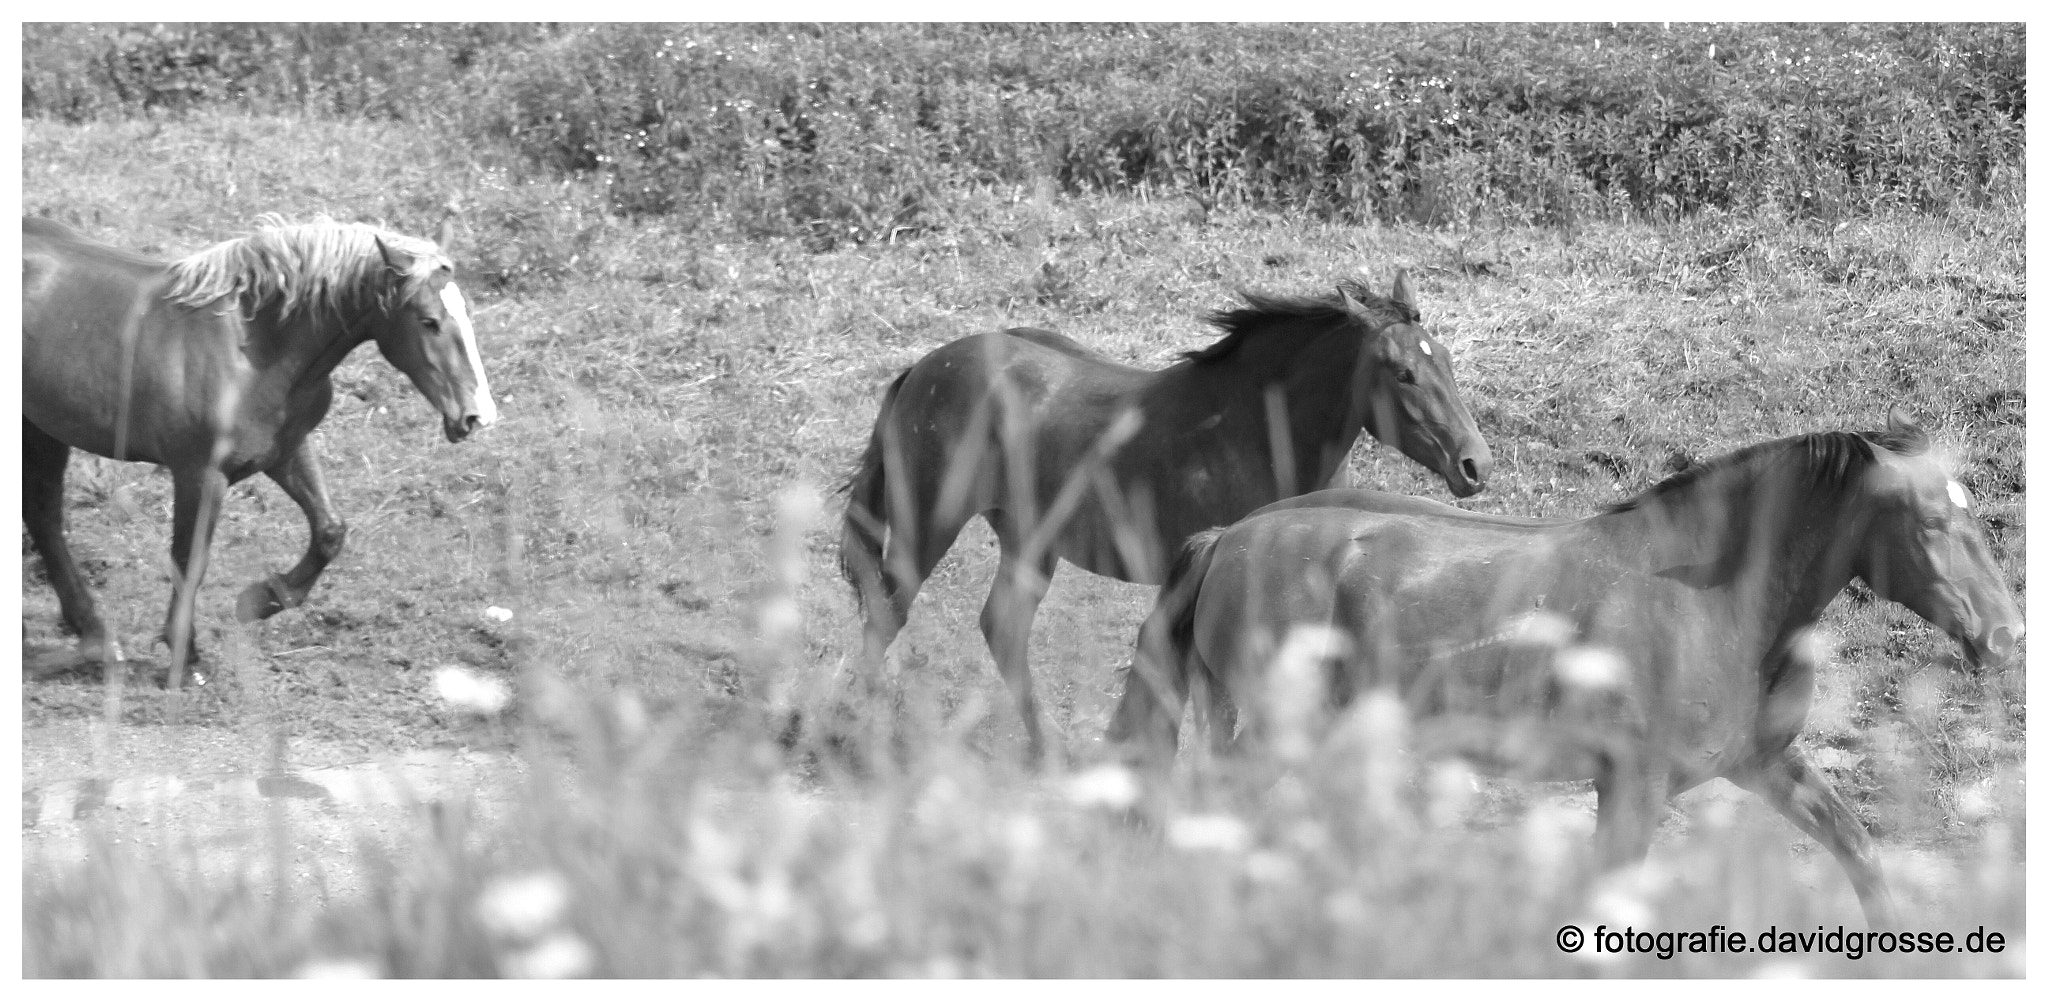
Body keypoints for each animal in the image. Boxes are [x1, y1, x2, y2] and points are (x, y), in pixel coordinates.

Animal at [22, 216, 497, 687]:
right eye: (429, 321)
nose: (477, 415)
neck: (253, 350)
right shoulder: (200, 474)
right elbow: (190, 560)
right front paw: (184, 656)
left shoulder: (286, 451)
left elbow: (329, 531)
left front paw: (261, 599)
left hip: (43, 430)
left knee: (44, 518)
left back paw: (96, 636)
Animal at [839, 272, 1499, 757]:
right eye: (1404, 372)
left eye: (1446, 361)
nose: (1476, 465)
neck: (1255, 428)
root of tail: (919, 371)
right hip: (929, 525)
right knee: (886, 614)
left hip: (1031, 542)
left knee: (1001, 628)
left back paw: (1050, 750)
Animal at [1105, 405, 2015, 921]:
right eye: (1930, 521)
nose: (2006, 636)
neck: (1715, 601)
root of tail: (1229, 537)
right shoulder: (1634, 783)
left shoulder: (1764, 764)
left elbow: (1860, 851)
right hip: (1274, 732)